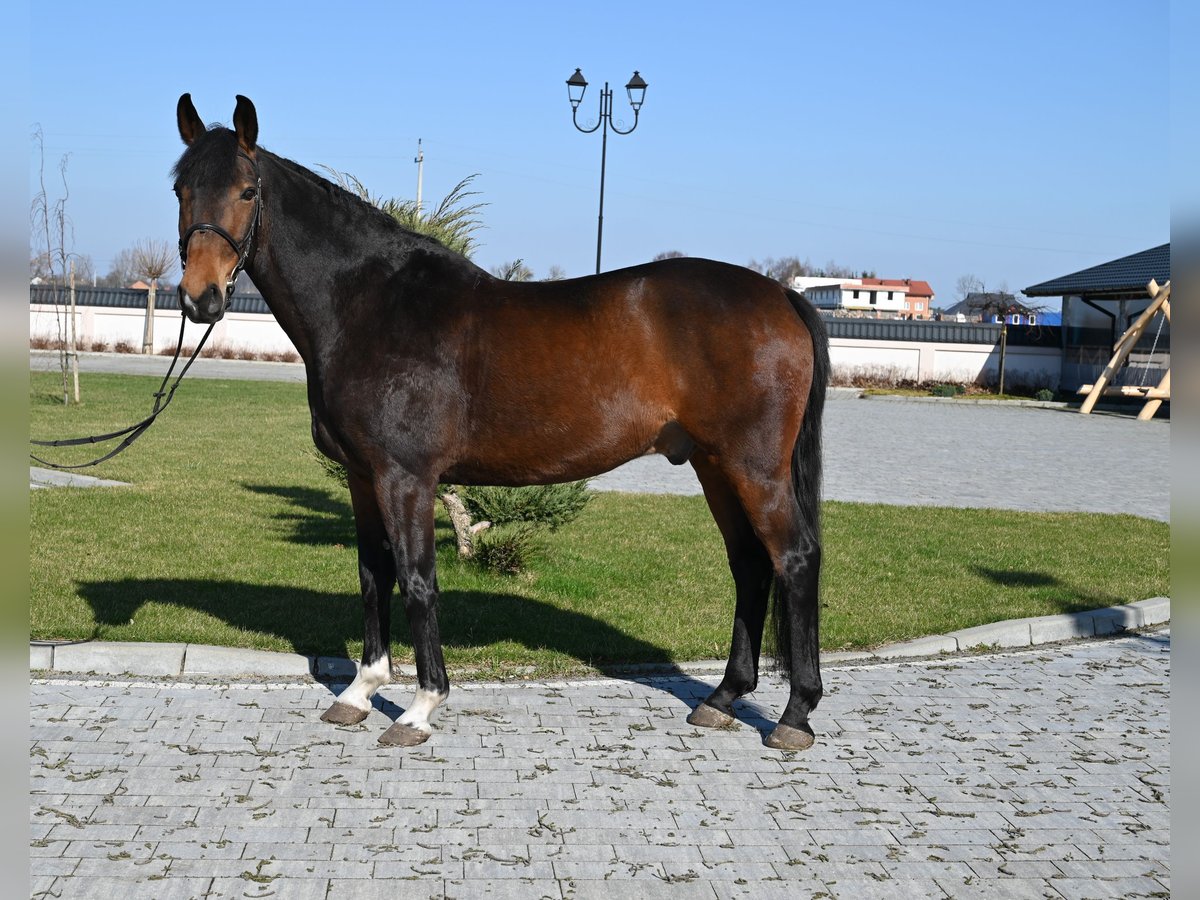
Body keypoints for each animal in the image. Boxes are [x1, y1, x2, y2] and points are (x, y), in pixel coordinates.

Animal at [172, 94, 830, 751]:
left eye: (247, 191)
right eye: (180, 188)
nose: (201, 299)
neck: (370, 305)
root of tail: (781, 296)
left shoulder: (405, 477)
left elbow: (416, 581)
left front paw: (419, 709)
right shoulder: (363, 476)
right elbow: (372, 575)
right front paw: (359, 693)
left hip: (754, 468)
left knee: (794, 558)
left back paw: (794, 715)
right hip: (713, 465)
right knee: (750, 564)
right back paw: (721, 699)